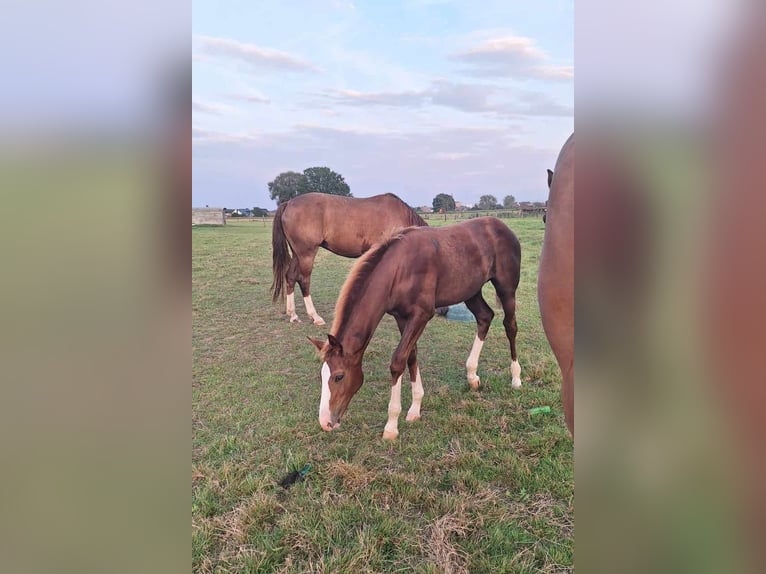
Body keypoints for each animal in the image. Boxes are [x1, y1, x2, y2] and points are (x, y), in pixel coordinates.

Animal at [272, 194, 428, 326]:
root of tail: (289, 203)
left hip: (297, 253)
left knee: (290, 277)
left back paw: (293, 315)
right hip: (306, 254)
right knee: (304, 280)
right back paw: (315, 316)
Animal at [308, 218, 524, 444]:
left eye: (339, 376)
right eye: (322, 375)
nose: (326, 422)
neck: (399, 270)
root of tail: (501, 226)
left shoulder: (421, 315)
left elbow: (398, 361)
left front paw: (391, 425)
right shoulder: (401, 317)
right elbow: (411, 356)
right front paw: (415, 409)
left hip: (506, 289)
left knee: (510, 326)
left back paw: (516, 378)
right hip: (471, 291)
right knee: (485, 317)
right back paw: (472, 376)